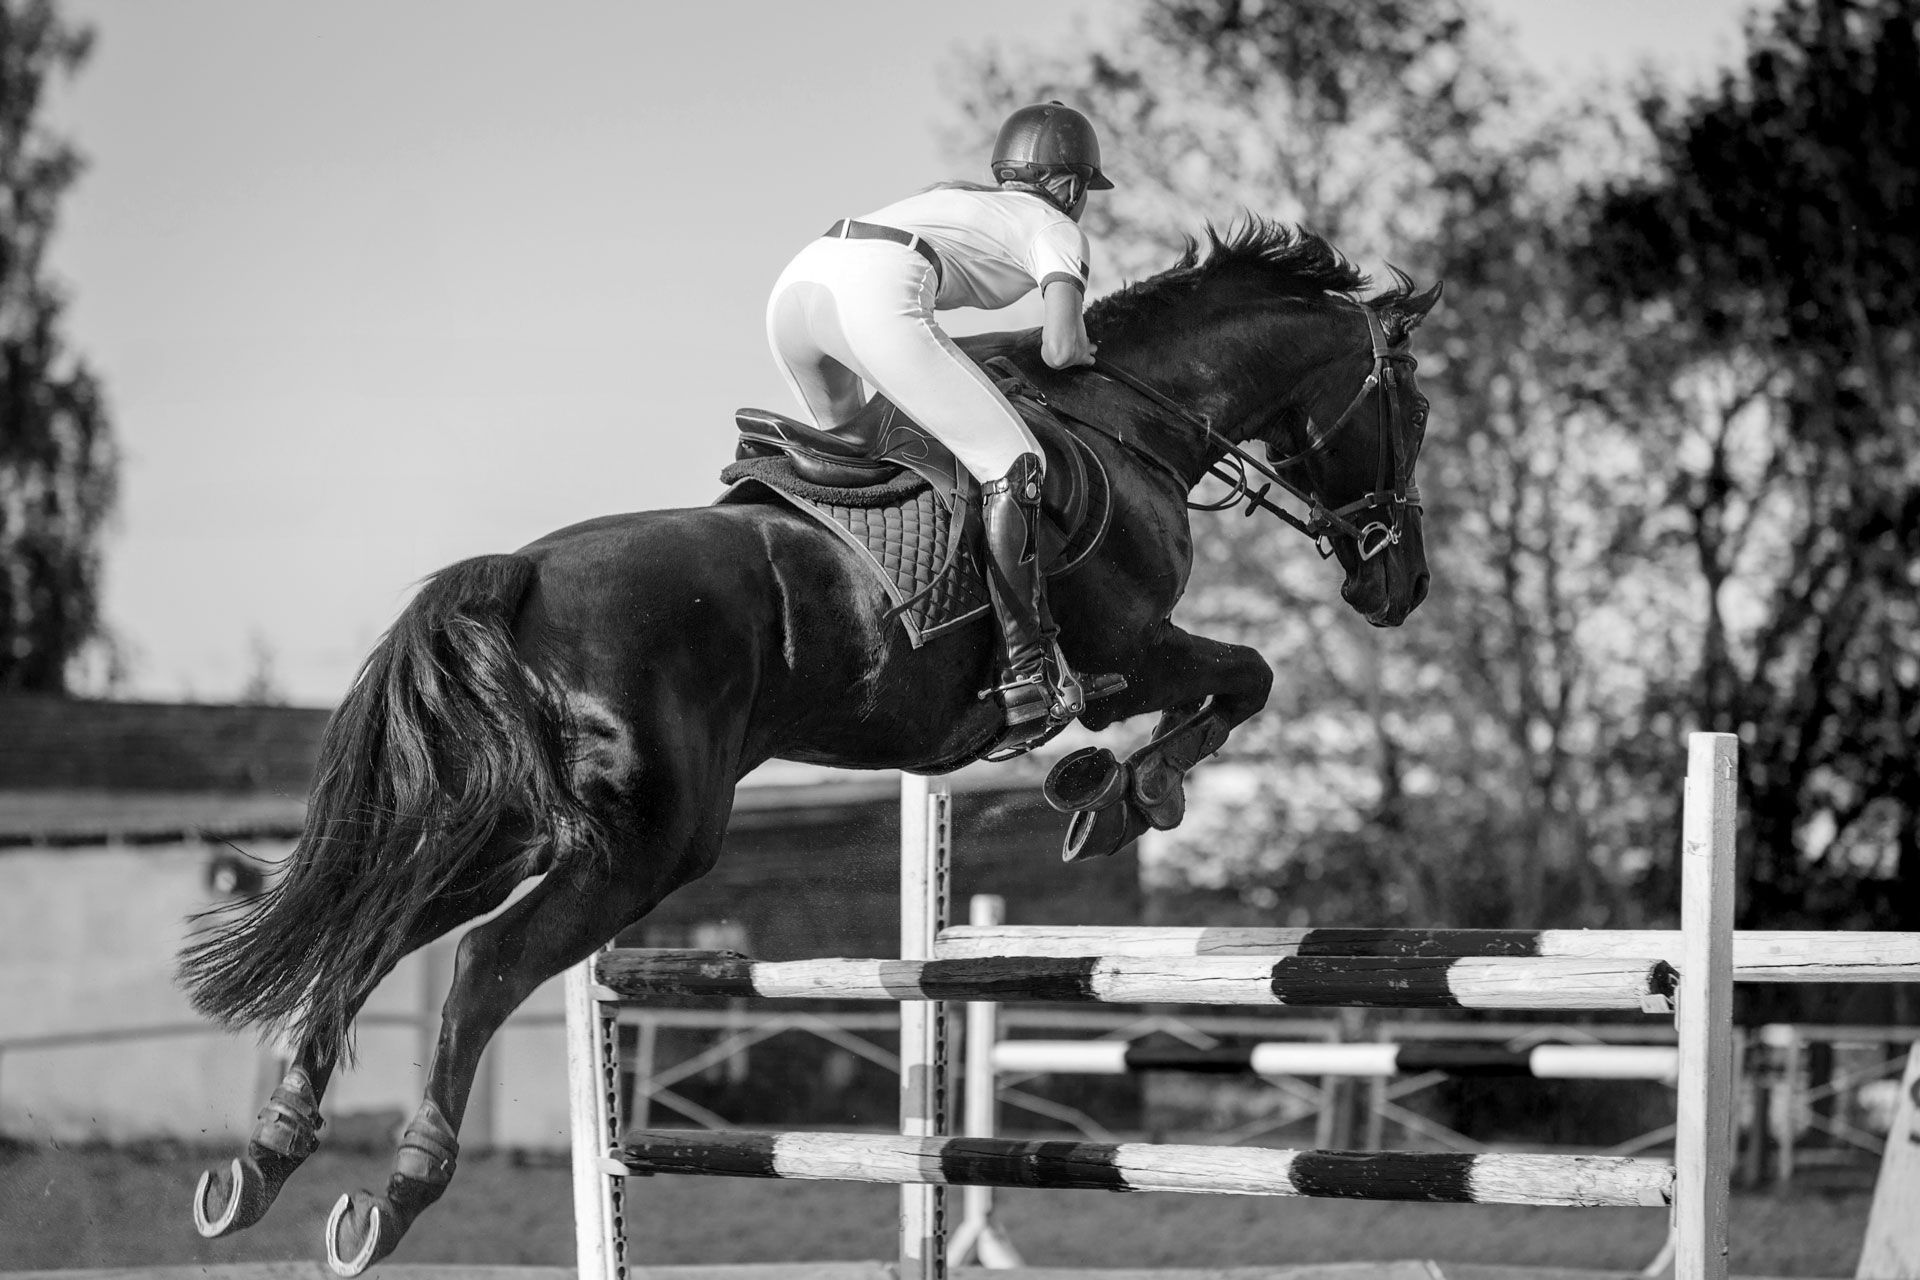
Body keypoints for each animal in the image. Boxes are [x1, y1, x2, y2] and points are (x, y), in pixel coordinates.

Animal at [179, 219, 1440, 1275]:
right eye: (1416, 412)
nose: (1399, 586)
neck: (1132, 423)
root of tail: (522, 576)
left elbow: (1227, 687)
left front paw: (1102, 787)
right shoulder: (1132, 646)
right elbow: (1245, 676)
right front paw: (1127, 792)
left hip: (508, 827)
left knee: (380, 930)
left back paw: (264, 1160)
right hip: (644, 845)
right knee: (484, 963)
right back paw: (396, 1193)